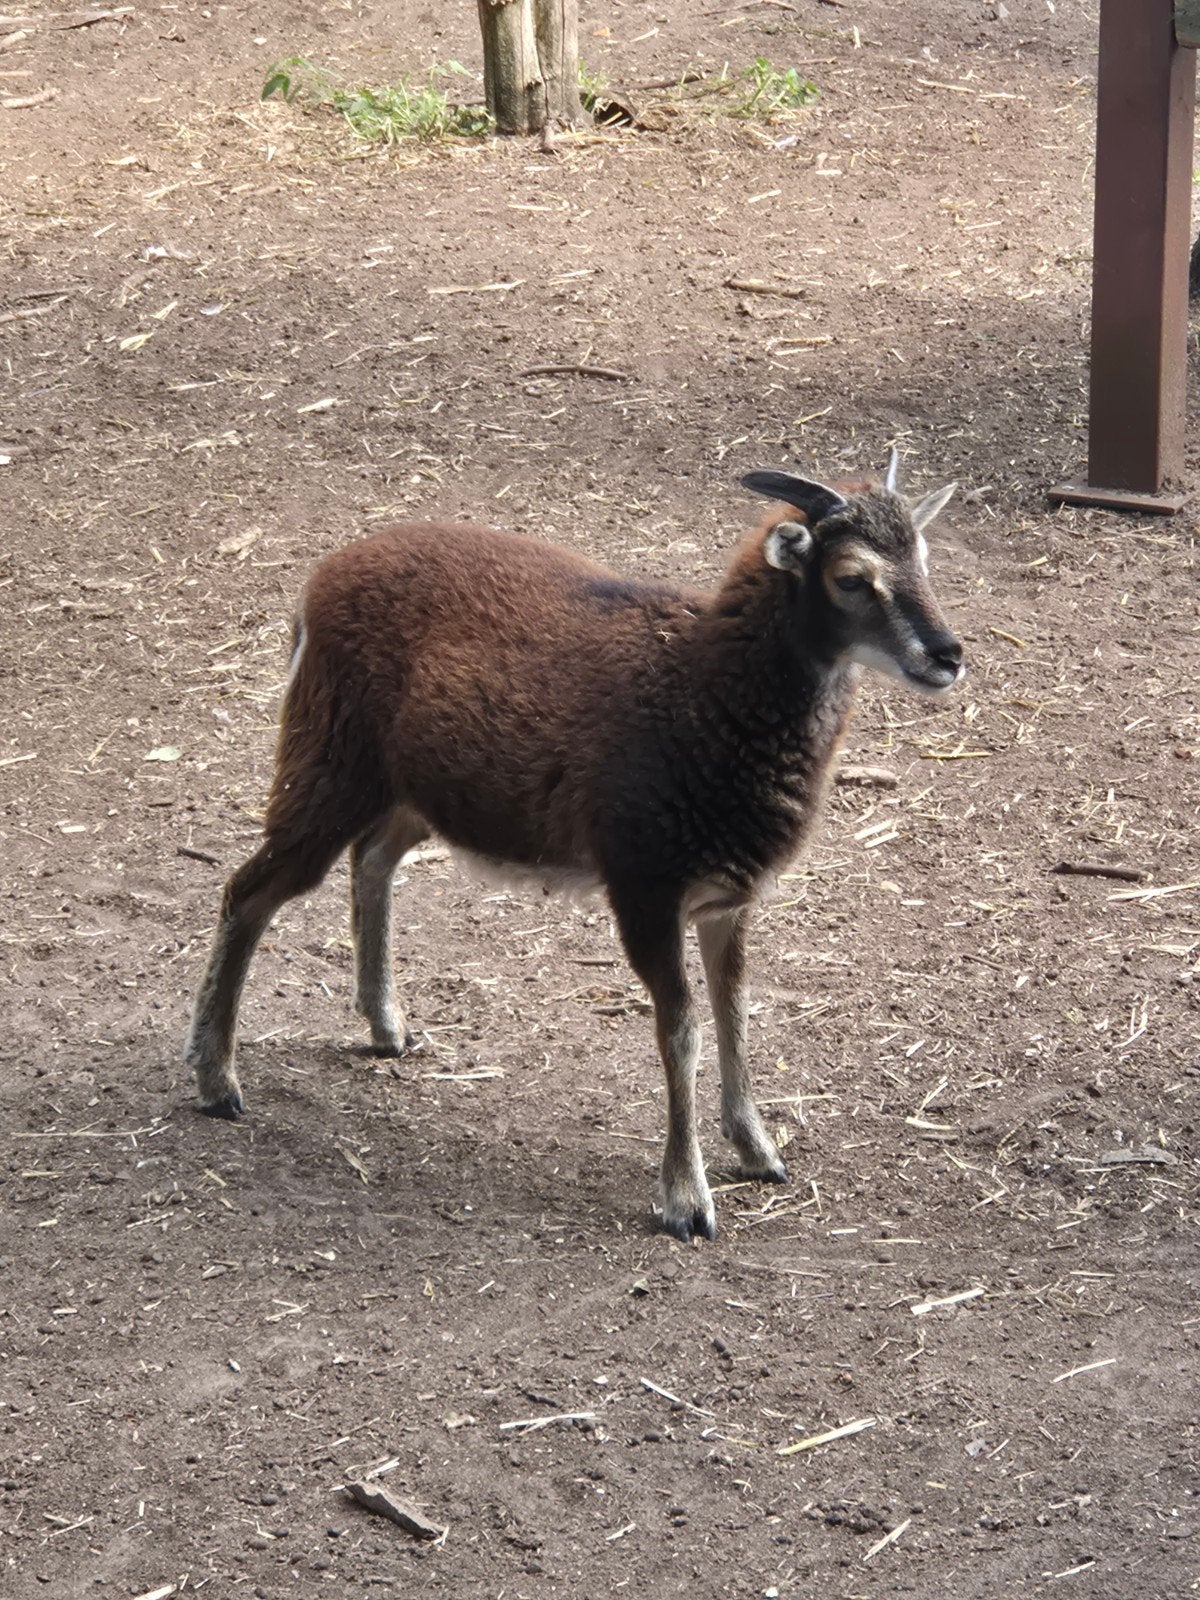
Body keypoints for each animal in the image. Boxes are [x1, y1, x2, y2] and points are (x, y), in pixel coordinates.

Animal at [185, 455, 962, 1241]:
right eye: (851, 577)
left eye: (924, 559)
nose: (948, 656)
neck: (702, 690)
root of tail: (320, 582)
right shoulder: (644, 885)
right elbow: (681, 1028)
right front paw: (686, 1200)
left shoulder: (728, 898)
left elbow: (734, 1011)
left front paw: (759, 1151)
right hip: (328, 761)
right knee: (248, 891)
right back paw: (217, 1081)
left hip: (415, 792)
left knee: (371, 860)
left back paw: (385, 1028)